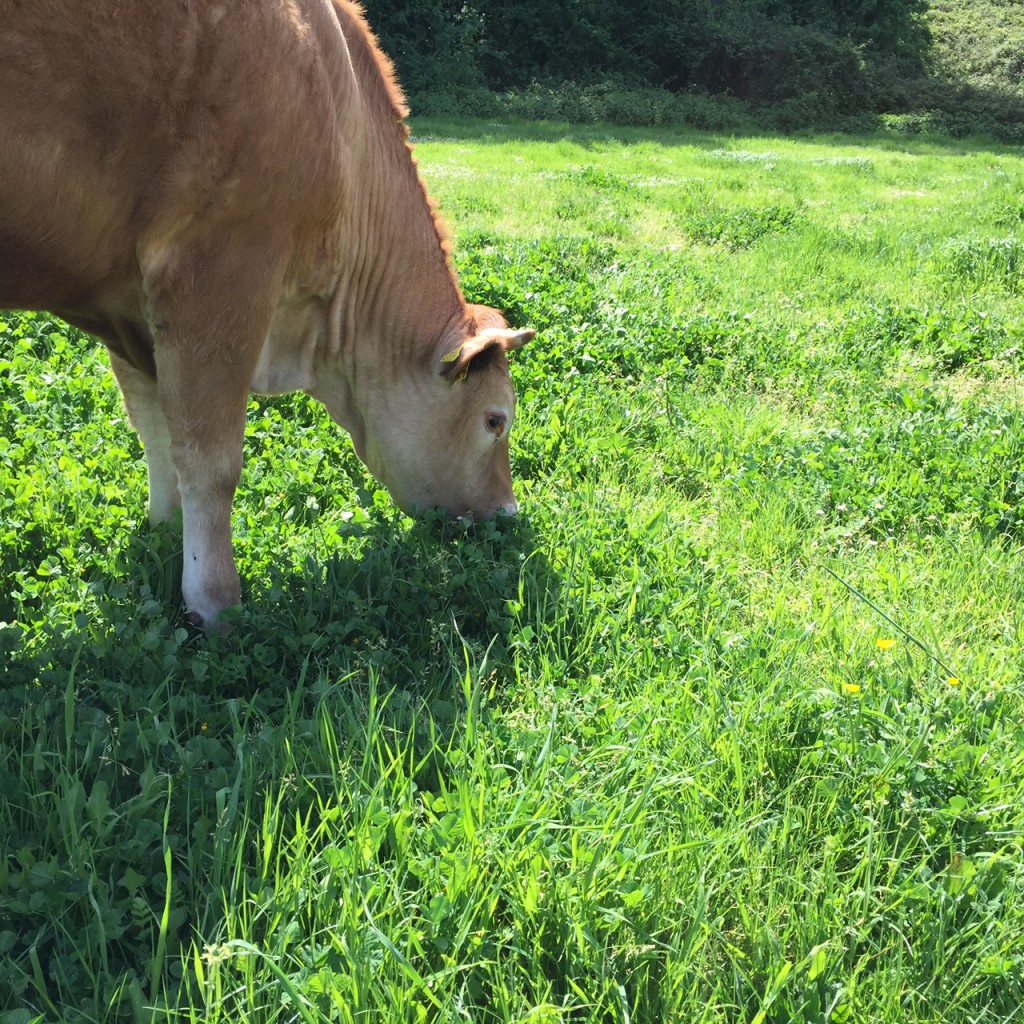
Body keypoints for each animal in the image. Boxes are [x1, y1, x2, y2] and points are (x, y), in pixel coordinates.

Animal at [2, 0, 536, 626]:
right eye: (496, 419)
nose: (509, 513)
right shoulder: (222, 271)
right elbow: (211, 461)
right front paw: (216, 605)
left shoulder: (127, 309)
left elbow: (153, 428)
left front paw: (163, 533)